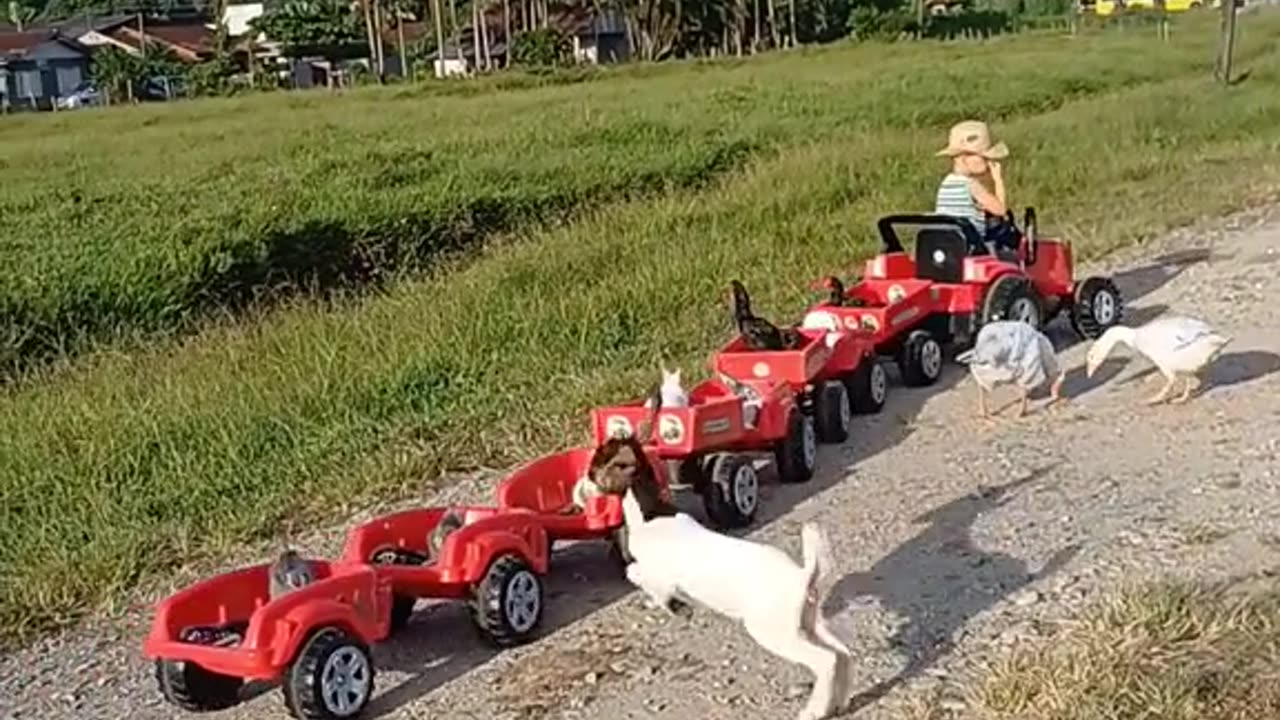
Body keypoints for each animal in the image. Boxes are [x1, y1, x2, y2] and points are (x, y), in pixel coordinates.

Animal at [622, 484, 855, 712]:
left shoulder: (660, 579)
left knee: (827, 660)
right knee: (843, 653)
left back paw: (814, 710)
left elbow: (634, 573)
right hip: (810, 624)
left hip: (774, 633)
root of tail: (802, 576)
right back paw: (840, 702)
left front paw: (665, 604)